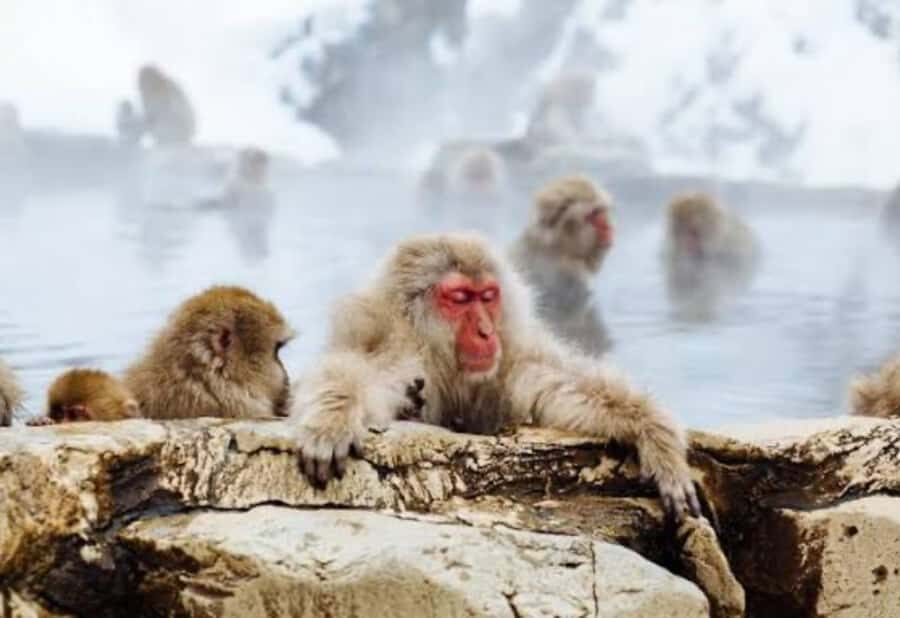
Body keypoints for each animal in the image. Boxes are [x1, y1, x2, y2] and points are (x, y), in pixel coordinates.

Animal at [290, 233, 701, 521]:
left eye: (487, 296)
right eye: (459, 298)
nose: (486, 332)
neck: (442, 360)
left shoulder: (510, 361)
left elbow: (562, 386)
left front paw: (654, 433)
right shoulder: (397, 350)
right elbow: (361, 375)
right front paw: (332, 419)